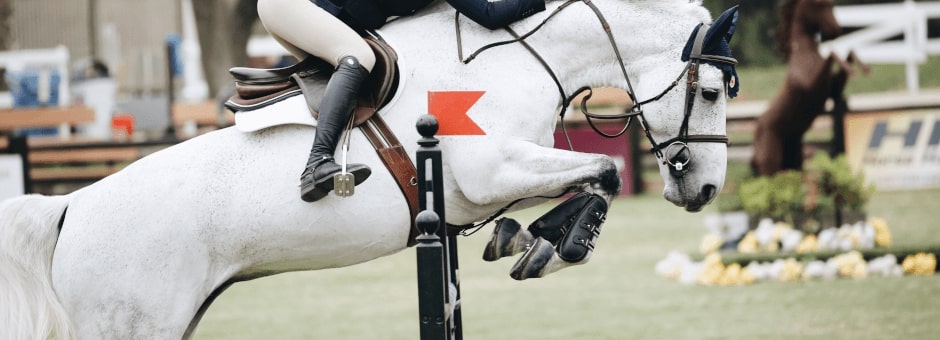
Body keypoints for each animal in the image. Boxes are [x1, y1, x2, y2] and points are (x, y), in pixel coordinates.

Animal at [0, 1, 736, 338]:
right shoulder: (488, 171)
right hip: (128, 324)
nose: (704, 189)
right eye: (710, 91)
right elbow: (605, 171)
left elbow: (590, 175)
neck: (521, 56)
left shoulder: (490, 184)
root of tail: (70, 208)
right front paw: (553, 244)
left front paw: (530, 240)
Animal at [752, 0, 872, 175]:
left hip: (794, 158)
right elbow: (832, 54)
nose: (836, 31)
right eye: (818, 5)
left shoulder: (834, 92)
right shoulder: (810, 86)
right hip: (771, 160)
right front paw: (852, 69)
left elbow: (849, 52)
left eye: (831, 5)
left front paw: (864, 68)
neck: (804, 54)